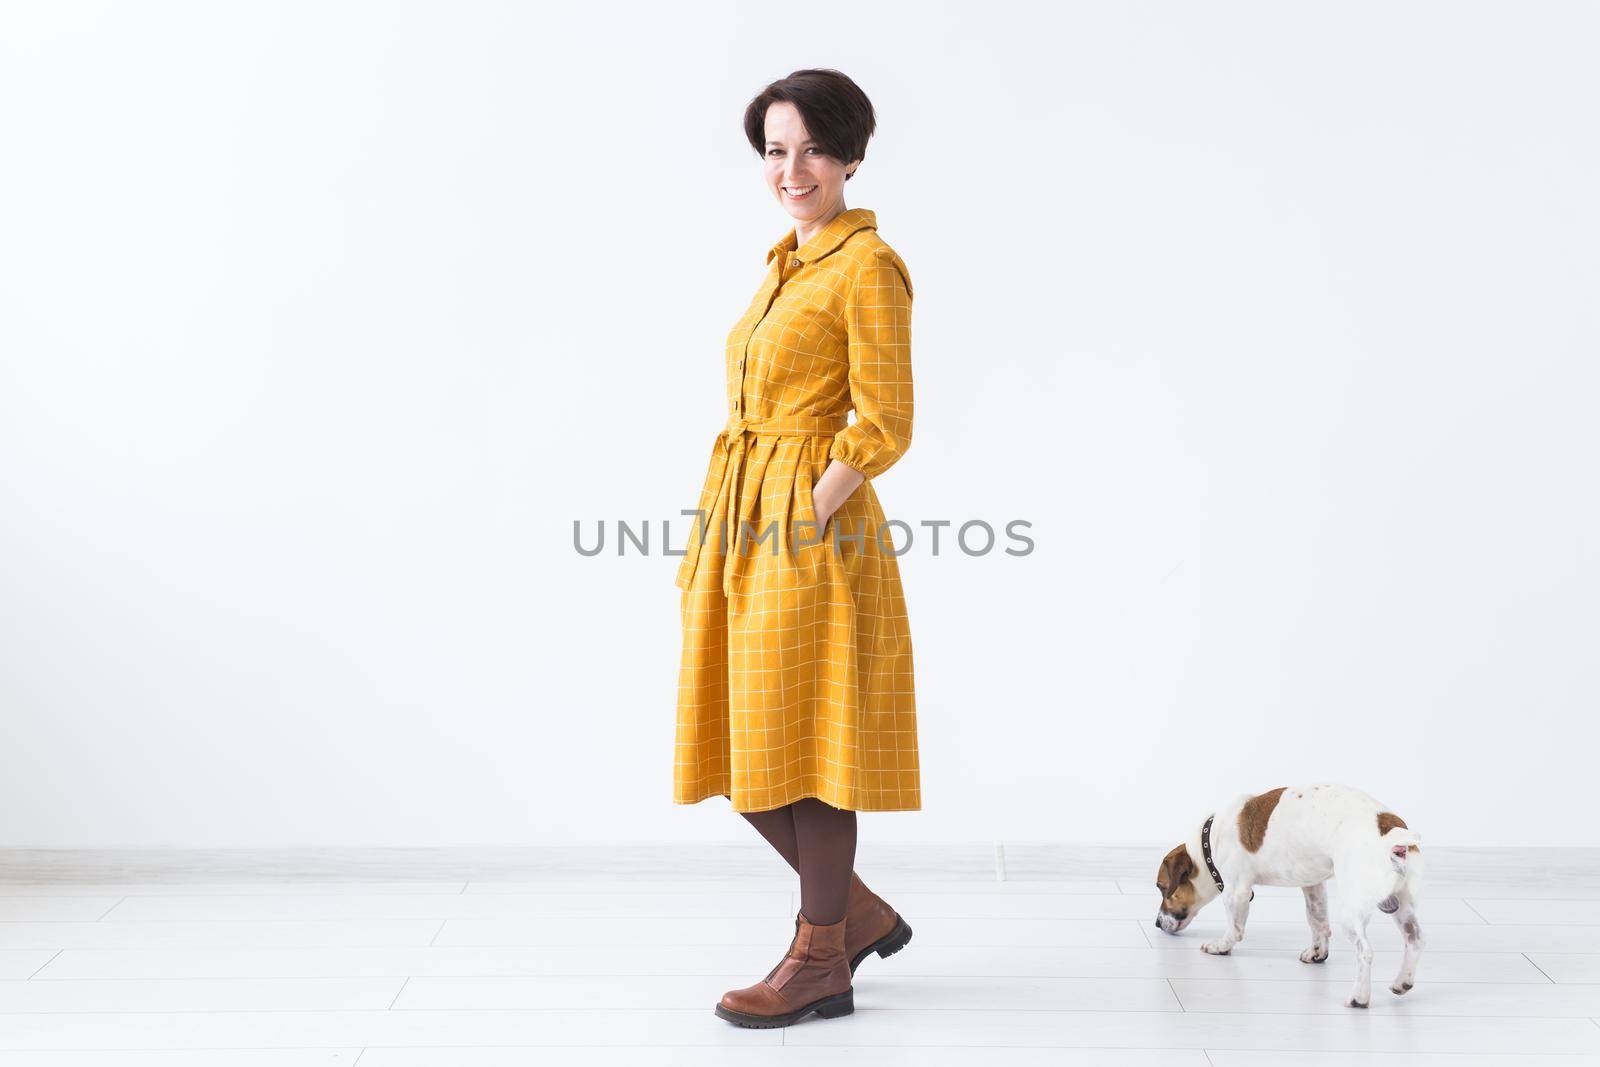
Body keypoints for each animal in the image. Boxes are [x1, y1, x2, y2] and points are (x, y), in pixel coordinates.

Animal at [1152, 783, 1427, 1011]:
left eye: (1161, 888)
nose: (1156, 923)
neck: (1208, 842)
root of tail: (1392, 835)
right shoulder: (1313, 885)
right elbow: (1317, 921)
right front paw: (1317, 953)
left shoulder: (1236, 891)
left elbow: (1234, 928)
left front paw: (1220, 946)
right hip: (1402, 905)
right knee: (1414, 939)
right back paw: (1402, 981)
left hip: (1352, 910)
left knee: (1365, 952)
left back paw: (1359, 997)